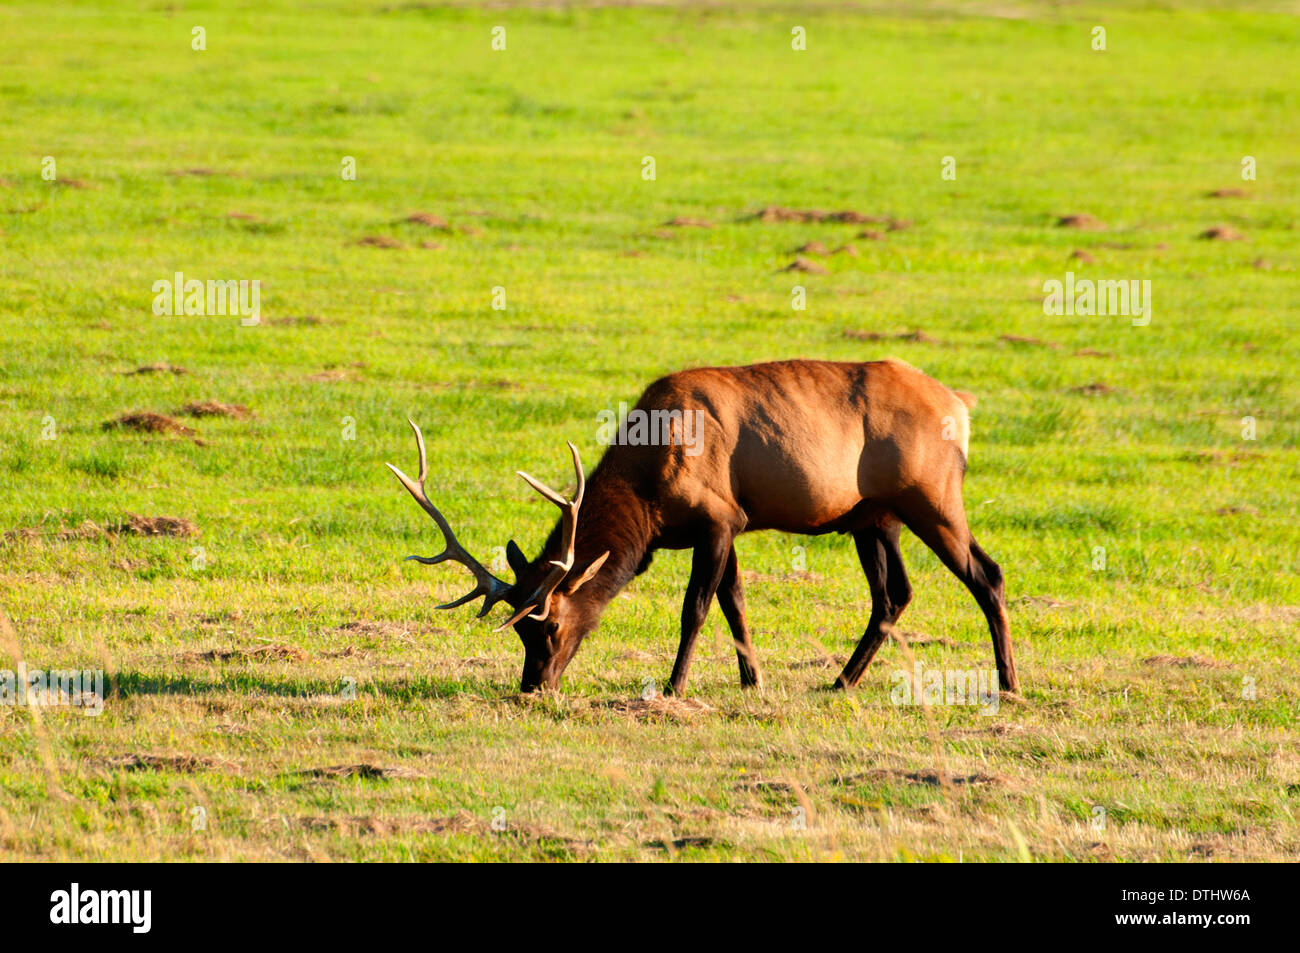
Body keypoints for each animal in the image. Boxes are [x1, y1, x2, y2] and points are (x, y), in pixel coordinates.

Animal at [387, 358, 1019, 697]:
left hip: (932, 495)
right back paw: (841, 682)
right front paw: (752, 680)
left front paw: (673, 688)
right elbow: (734, 601)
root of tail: (960, 406)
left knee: (986, 573)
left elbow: (696, 607)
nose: (533, 686)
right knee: (894, 594)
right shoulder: (726, 524)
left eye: (551, 627)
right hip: (873, 516)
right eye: (520, 633)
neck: (647, 497)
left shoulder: (718, 517)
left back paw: (1009, 684)